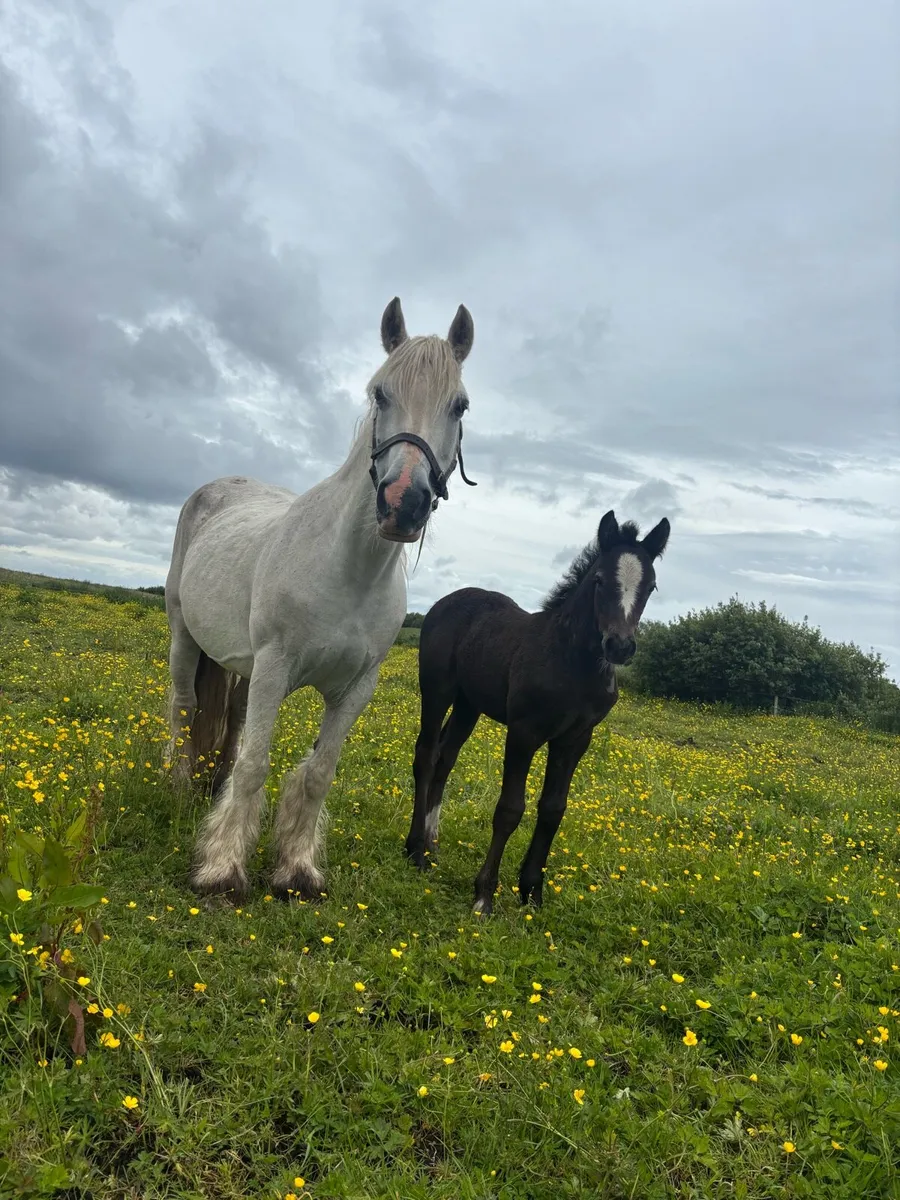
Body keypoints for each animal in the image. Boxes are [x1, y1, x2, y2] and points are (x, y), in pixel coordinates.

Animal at [165, 297, 476, 901]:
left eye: (460, 405)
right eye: (380, 394)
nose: (403, 504)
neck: (347, 572)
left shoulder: (355, 688)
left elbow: (317, 772)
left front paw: (297, 871)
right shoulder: (274, 667)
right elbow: (257, 765)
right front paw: (222, 870)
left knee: (230, 722)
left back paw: (211, 785)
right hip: (185, 635)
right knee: (185, 707)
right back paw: (177, 784)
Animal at [405, 509, 670, 913]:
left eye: (652, 586)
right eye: (599, 580)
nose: (620, 646)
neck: (572, 663)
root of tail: (447, 601)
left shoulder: (575, 739)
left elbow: (553, 809)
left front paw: (531, 891)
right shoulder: (524, 732)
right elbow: (510, 808)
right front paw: (484, 895)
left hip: (469, 703)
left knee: (445, 757)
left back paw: (432, 844)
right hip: (438, 689)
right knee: (426, 753)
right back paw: (416, 850)